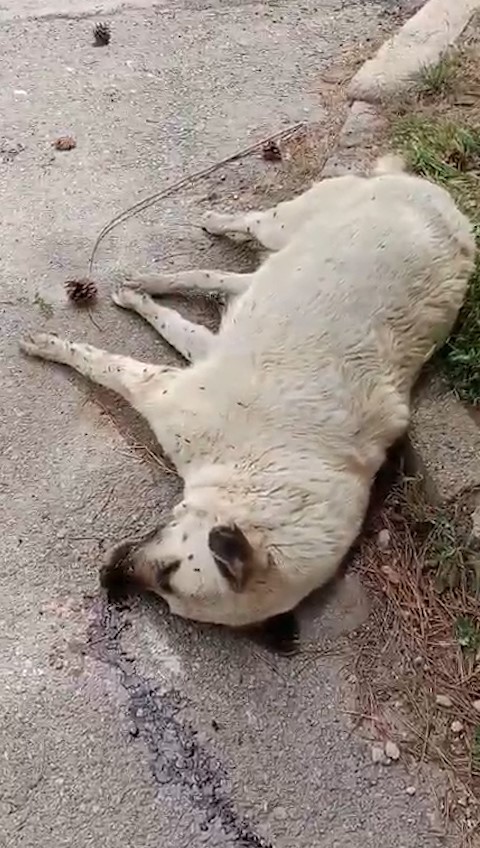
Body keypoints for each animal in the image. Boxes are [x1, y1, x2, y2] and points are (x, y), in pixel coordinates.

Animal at [20, 156, 474, 640]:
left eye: (167, 585)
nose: (109, 578)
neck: (256, 472)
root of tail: (446, 206)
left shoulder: (189, 373)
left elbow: (165, 332)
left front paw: (134, 305)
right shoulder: (167, 390)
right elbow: (101, 360)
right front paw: (49, 345)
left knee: (224, 281)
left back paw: (150, 282)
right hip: (285, 221)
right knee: (246, 234)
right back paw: (206, 230)